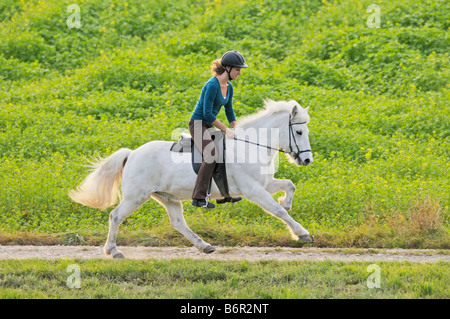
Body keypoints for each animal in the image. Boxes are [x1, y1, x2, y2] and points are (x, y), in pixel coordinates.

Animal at [69, 99, 312, 258]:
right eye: (299, 132)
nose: (307, 160)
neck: (251, 146)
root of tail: (132, 154)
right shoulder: (254, 190)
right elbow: (278, 211)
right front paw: (302, 233)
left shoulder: (264, 184)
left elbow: (289, 186)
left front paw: (287, 202)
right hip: (136, 196)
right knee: (116, 216)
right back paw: (113, 250)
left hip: (167, 197)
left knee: (178, 223)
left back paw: (204, 246)